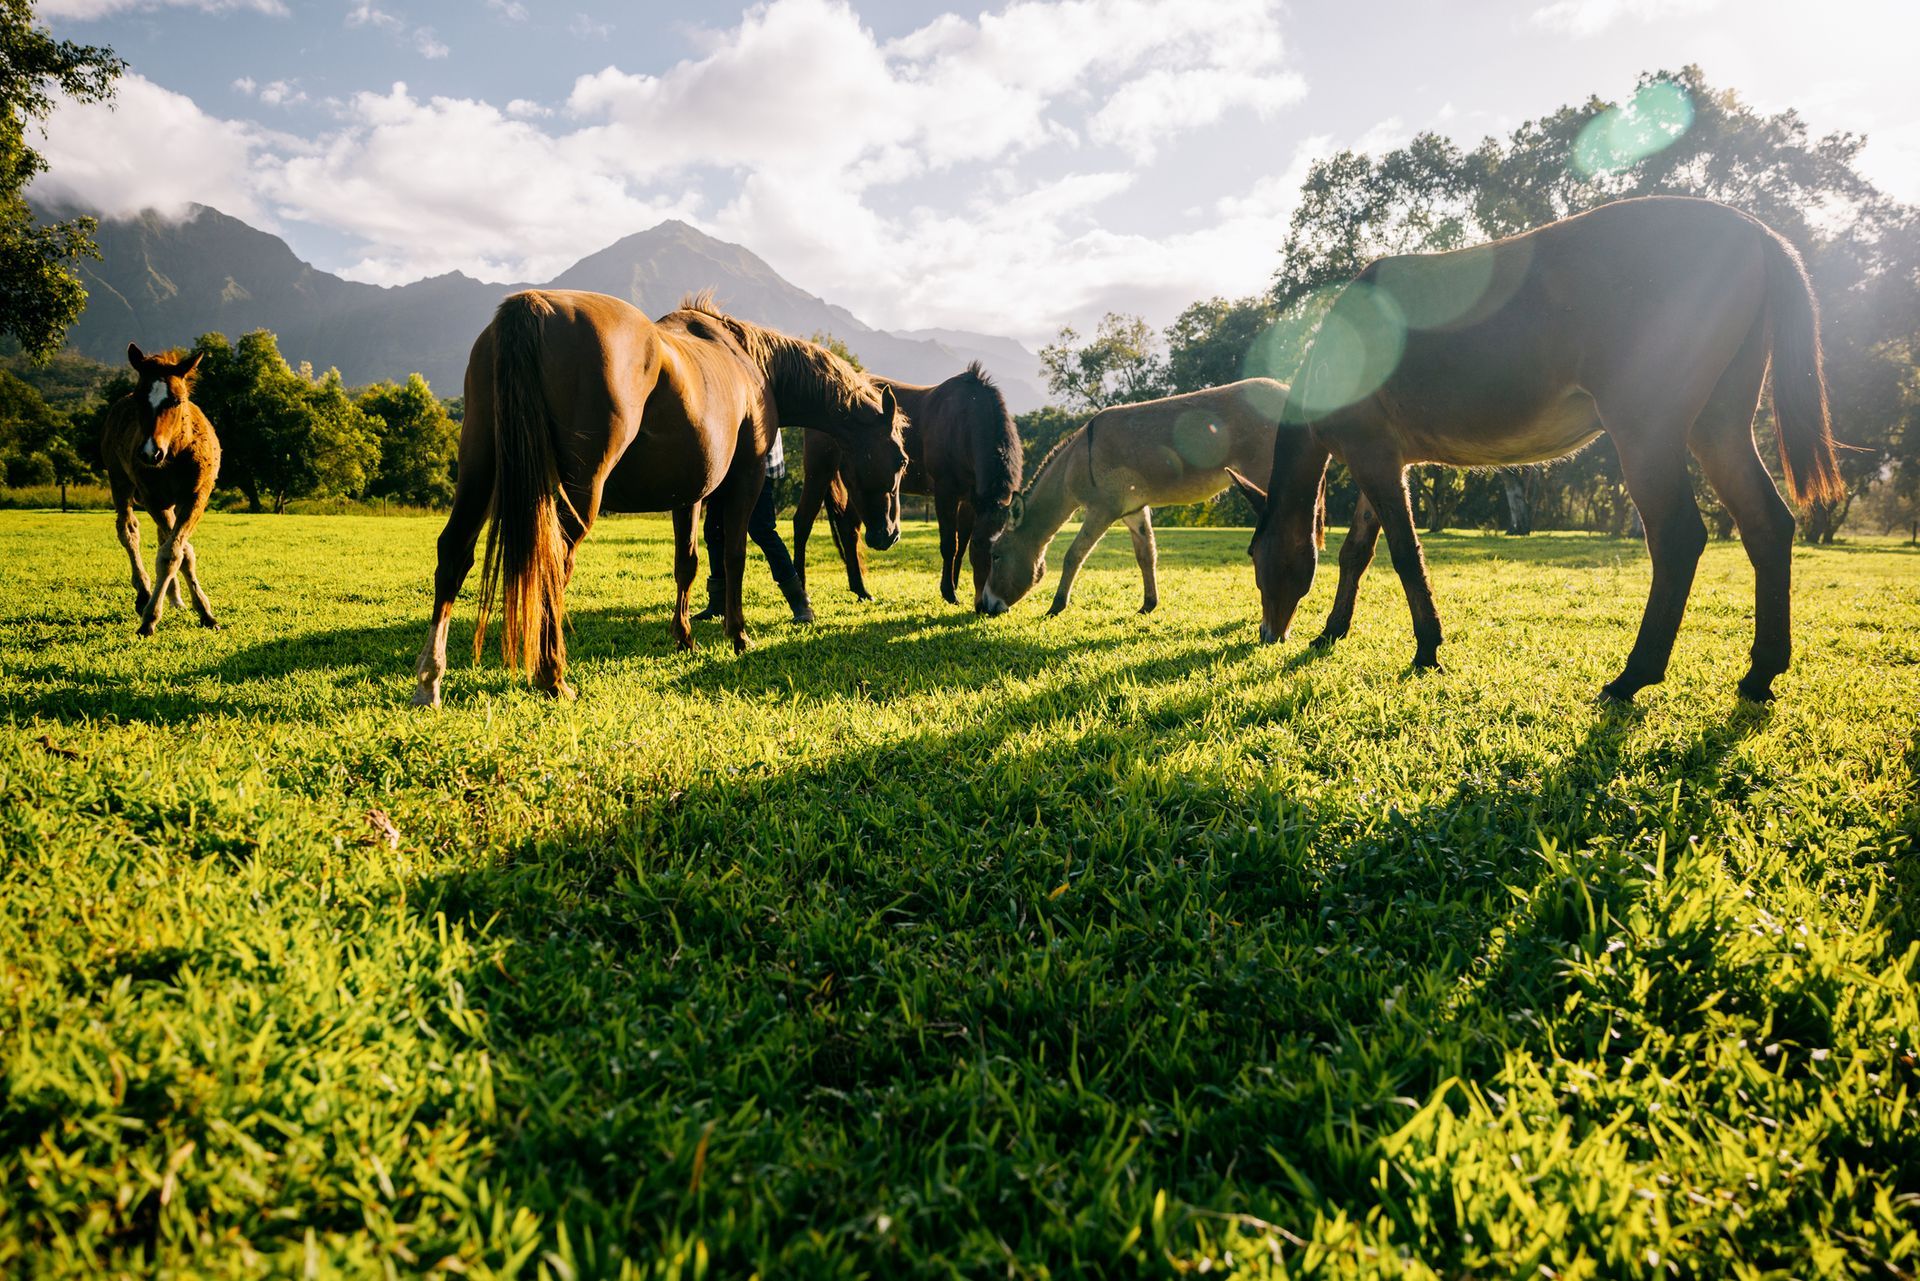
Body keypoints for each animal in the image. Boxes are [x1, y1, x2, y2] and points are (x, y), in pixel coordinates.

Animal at [100, 343, 222, 636]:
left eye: (176, 400)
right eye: (139, 400)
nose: (149, 453)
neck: (177, 452)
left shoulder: (196, 496)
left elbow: (176, 550)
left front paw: (205, 612)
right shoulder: (153, 498)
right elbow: (174, 552)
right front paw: (150, 618)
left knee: (162, 537)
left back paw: (175, 598)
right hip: (120, 481)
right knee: (128, 530)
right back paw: (144, 594)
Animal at [411, 290, 908, 707]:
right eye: (901, 459)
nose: (890, 534)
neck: (750, 363)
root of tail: (531, 306)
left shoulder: (688, 493)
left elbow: (687, 563)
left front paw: (684, 636)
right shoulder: (744, 480)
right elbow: (734, 556)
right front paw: (738, 635)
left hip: (481, 469)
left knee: (453, 555)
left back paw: (430, 680)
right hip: (579, 491)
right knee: (552, 561)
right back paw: (553, 676)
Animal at [792, 363, 1023, 611]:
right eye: (980, 547)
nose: (988, 606)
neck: (963, 421)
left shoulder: (970, 499)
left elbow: (961, 545)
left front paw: (954, 584)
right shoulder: (945, 492)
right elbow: (950, 544)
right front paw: (949, 592)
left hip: (855, 487)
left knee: (849, 530)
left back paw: (861, 590)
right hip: (820, 472)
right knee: (803, 522)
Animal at [980, 378, 1286, 616]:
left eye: (995, 556)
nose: (984, 606)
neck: (1076, 462)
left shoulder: (1102, 509)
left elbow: (1074, 555)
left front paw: (1056, 606)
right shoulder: (1134, 510)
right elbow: (1146, 555)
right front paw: (1148, 605)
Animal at [1235, 196, 1843, 703]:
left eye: (1256, 557)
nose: (1268, 634)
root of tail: (1759, 233)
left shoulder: (1373, 460)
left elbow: (1406, 555)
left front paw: (1427, 648)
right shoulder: (1385, 463)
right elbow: (1355, 554)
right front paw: (1331, 632)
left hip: (1647, 430)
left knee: (1678, 539)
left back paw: (1633, 676)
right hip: (1719, 426)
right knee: (1767, 526)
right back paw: (1760, 672)